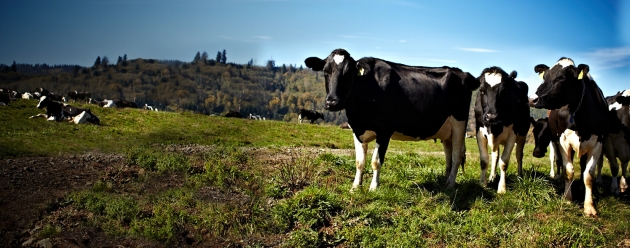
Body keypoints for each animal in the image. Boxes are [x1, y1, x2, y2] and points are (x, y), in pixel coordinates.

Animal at [304, 49, 478, 192]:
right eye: (326, 72)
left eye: (348, 73)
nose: (333, 102)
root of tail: (461, 73)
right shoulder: (356, 129)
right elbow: (359, 161)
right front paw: (355, 187)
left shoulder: (384, 130)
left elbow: (376, 161)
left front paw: (373, 188)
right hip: (446, 129)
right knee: (449, 154)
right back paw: (445, 180)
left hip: (459, 122)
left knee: (457, 154)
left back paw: (450, 184)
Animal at [532, 57, 612, 216]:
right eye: (544, 77)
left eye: (562, 78)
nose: (533, 99)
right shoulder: (563, 142)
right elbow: (568, 171)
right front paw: (567, 198)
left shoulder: (597, 143)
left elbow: (589, 175)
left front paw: (589, 207)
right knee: (558, 161)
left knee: (582, 165)